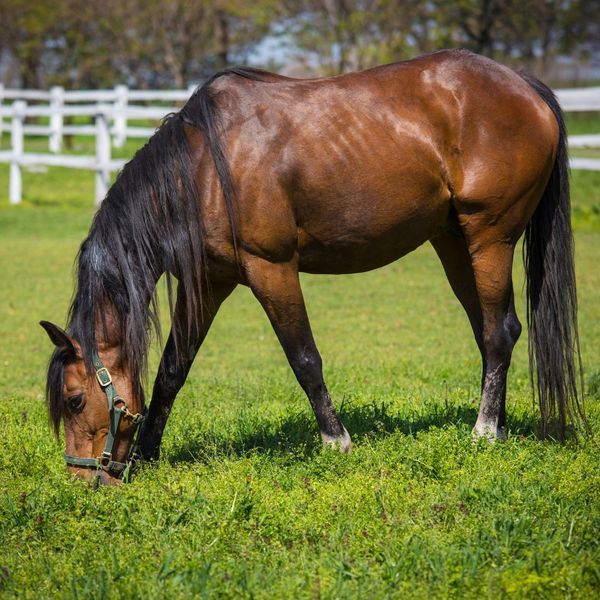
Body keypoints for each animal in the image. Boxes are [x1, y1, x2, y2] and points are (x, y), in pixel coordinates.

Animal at [39, 49, 584, 486]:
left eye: (73, 400)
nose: (82, 480)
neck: (203, 169)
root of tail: (523, 85)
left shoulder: (271, 269)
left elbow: (304, 358)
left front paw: (335, 442)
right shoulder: (212, 281)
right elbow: (173, 369)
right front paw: (150, 455)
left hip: (490, 238)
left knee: (499, 331)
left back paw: (485, 432)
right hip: (453, 243)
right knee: (490, 333)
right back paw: (500, 424)